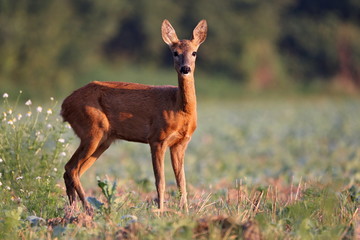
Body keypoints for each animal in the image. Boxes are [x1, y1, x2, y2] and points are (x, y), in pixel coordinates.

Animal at [60, 18, 207, 214]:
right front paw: (160, 212)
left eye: (194, 52)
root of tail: (64, 106)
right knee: (72, 168)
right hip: (92, 129)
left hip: (103, 139)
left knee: (69, 170)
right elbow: (160, 181)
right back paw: (88, 211)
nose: (185, 68)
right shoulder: (157, 138)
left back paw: (73, 211)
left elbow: (182, 182)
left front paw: (185, 213)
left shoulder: (181, 142)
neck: (178, 107)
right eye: (175, 53)